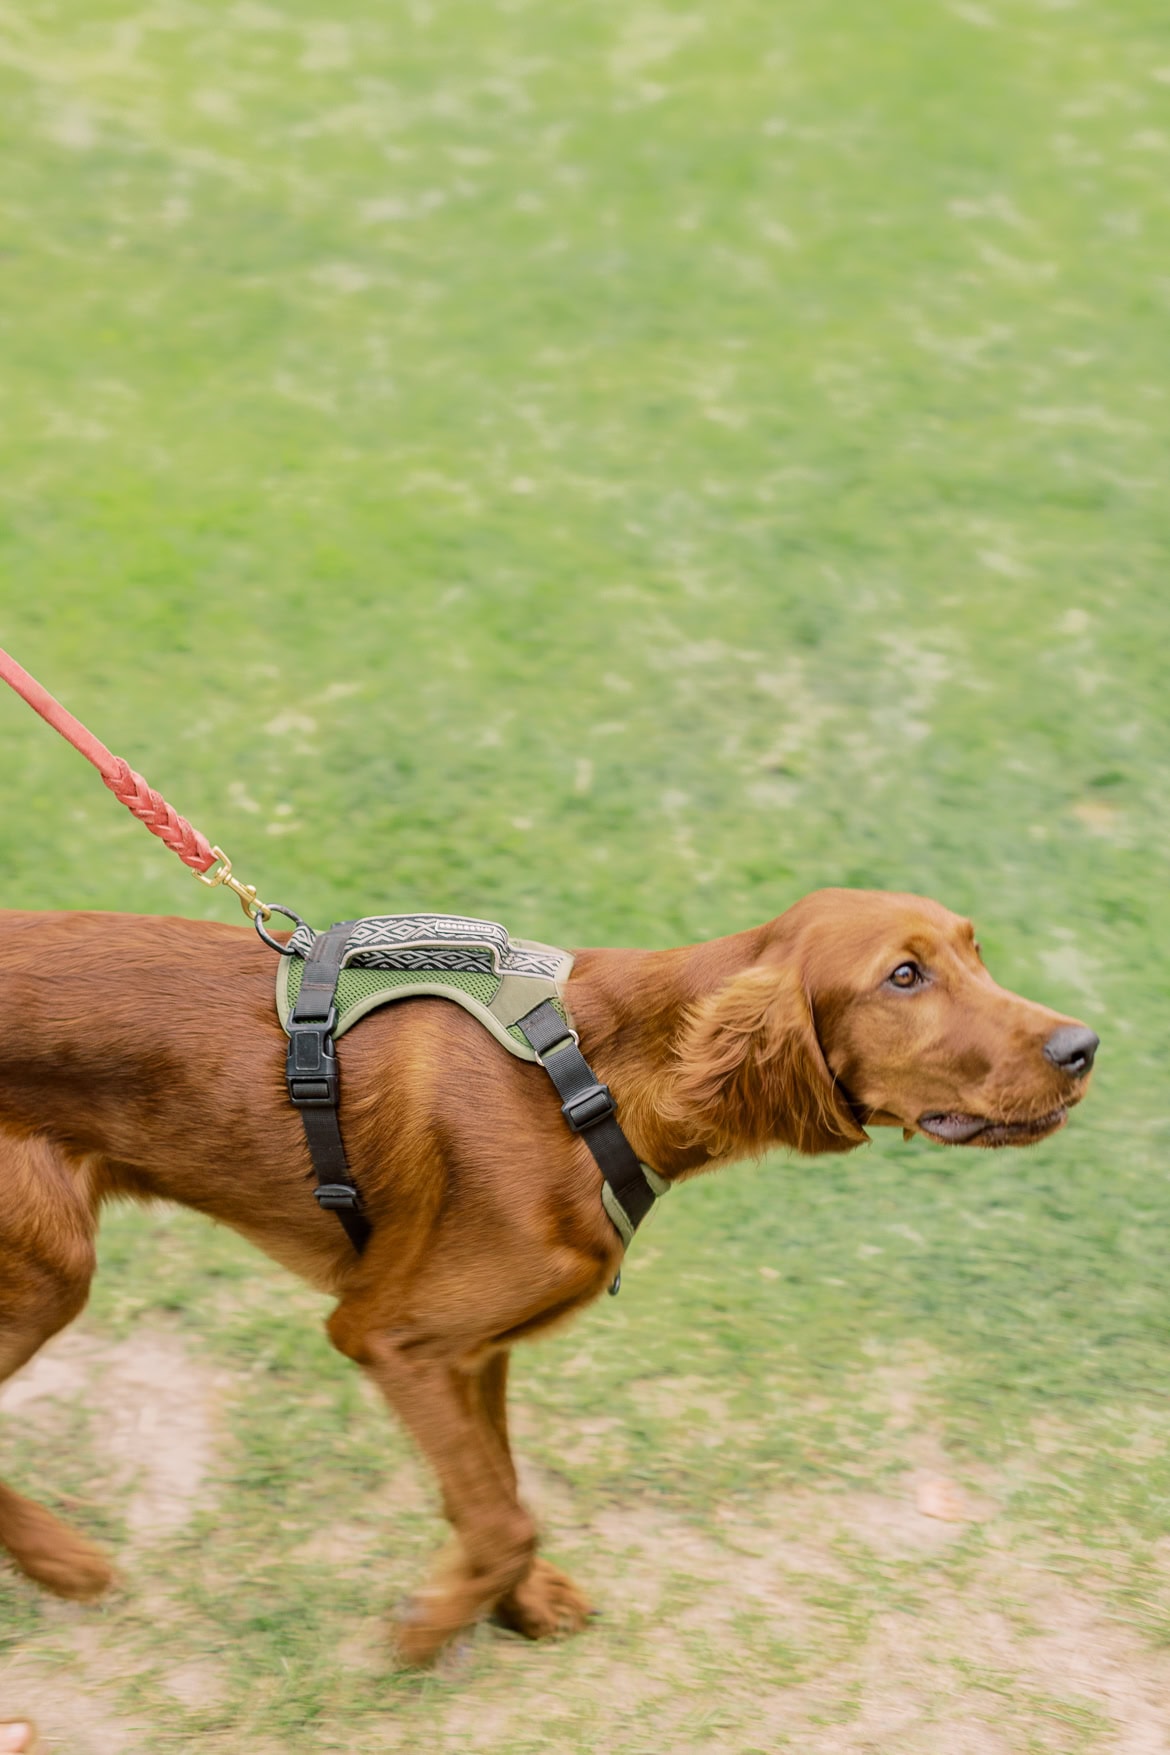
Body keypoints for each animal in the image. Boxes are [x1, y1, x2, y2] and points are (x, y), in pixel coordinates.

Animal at [0, 891, 1101, 1656]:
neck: (595, 1080)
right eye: (903, 977)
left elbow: (496, 1494)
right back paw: (62, 1562)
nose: (1083, 1044)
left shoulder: (471, 1350)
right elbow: (500, 1516)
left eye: (974, 950)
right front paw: (428, 1629)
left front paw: (512, 1608)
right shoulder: (388, 1333)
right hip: (49, 1266)